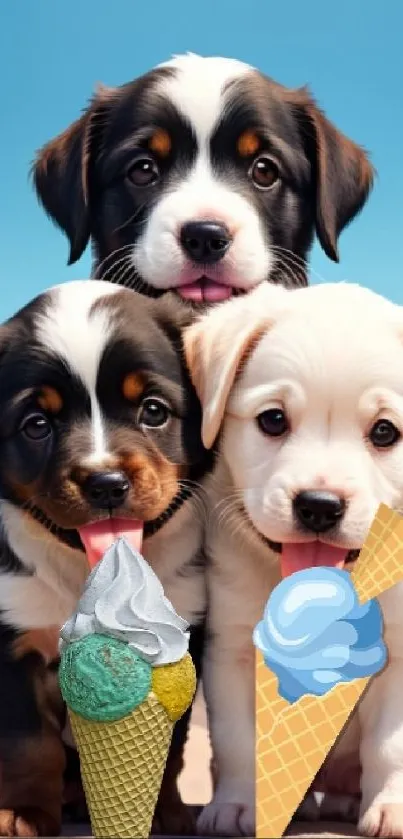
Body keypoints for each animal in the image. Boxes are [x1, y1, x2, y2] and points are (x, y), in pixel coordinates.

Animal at [0, 280, 211, 832]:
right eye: (36, 424)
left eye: (153, 410)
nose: (105, 482)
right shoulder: (12, 642)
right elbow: (28, 744)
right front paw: (26, 811)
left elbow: (174, 744)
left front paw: (160, 810)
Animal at [185, 284, 403, 839]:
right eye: (273, 419)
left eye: (385, 432)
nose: (319, 506)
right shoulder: (233, 649)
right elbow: (238, 742)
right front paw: (239, 805)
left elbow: (389, 745)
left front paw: (391, 806)